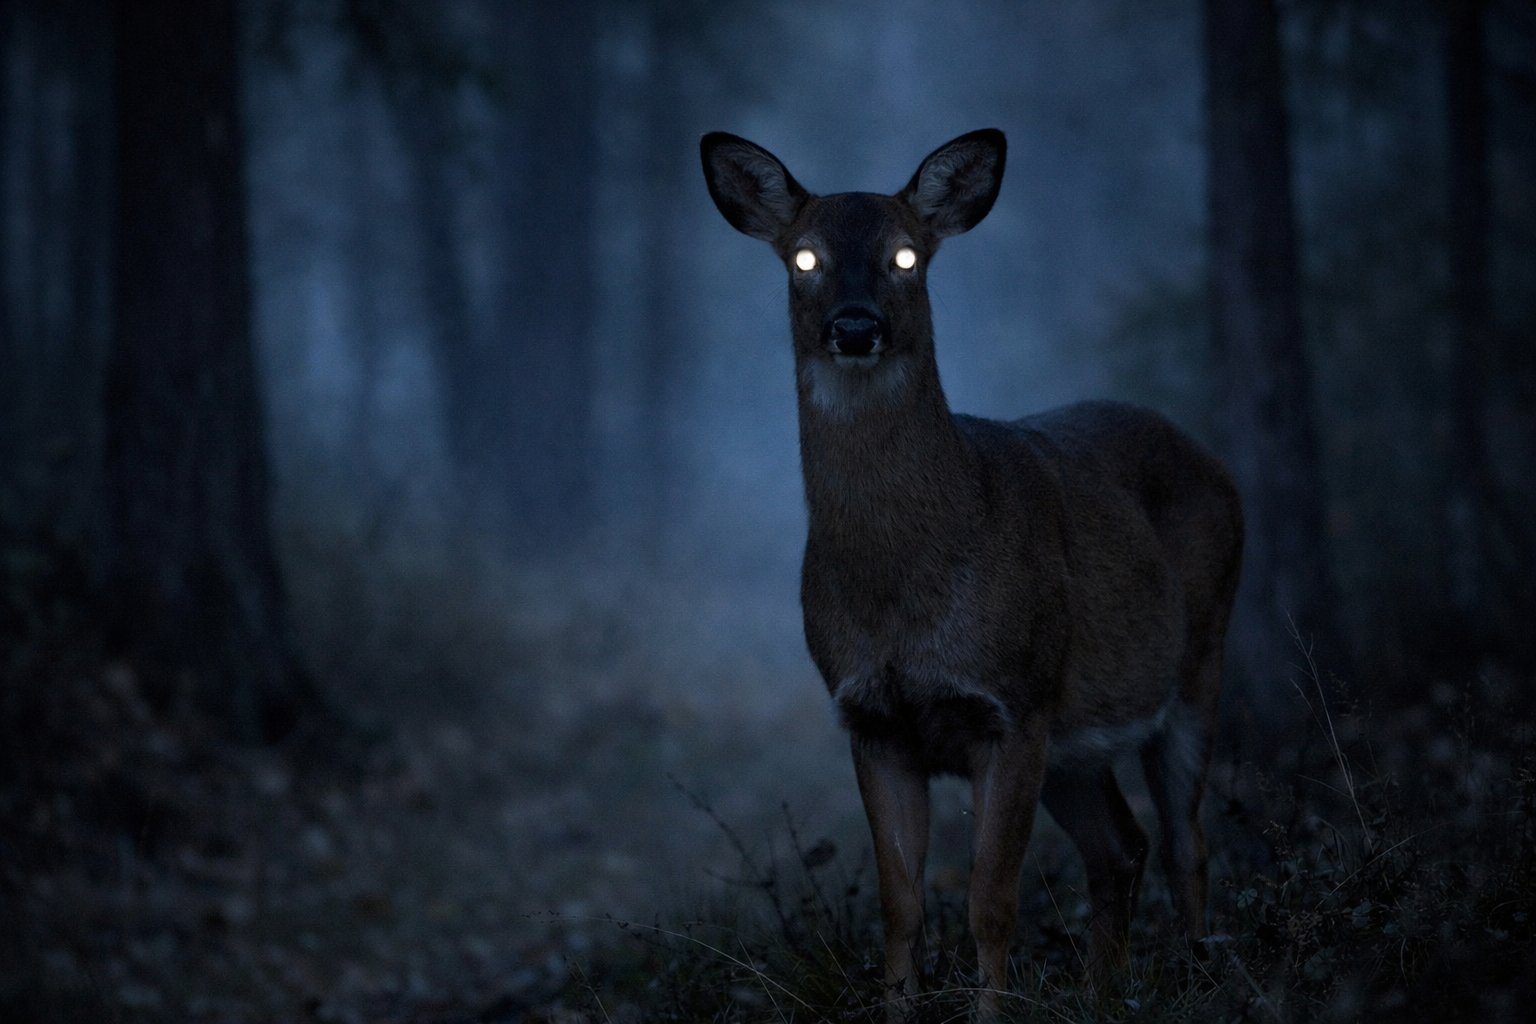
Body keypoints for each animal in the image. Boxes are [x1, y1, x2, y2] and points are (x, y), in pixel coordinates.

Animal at [700, 128, 1243, 1019]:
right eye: (805, 257)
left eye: (907, 255)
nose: (856, 326)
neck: (904, 594)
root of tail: (1216, 462)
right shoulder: (874, 720)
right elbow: (903, 906)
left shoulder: (1010, 702)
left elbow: (991, 902)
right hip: (1075, 740)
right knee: (1122, 846)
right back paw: (1104, 994)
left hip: (1196, 664)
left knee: (1185, 841)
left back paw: (1196, 972)